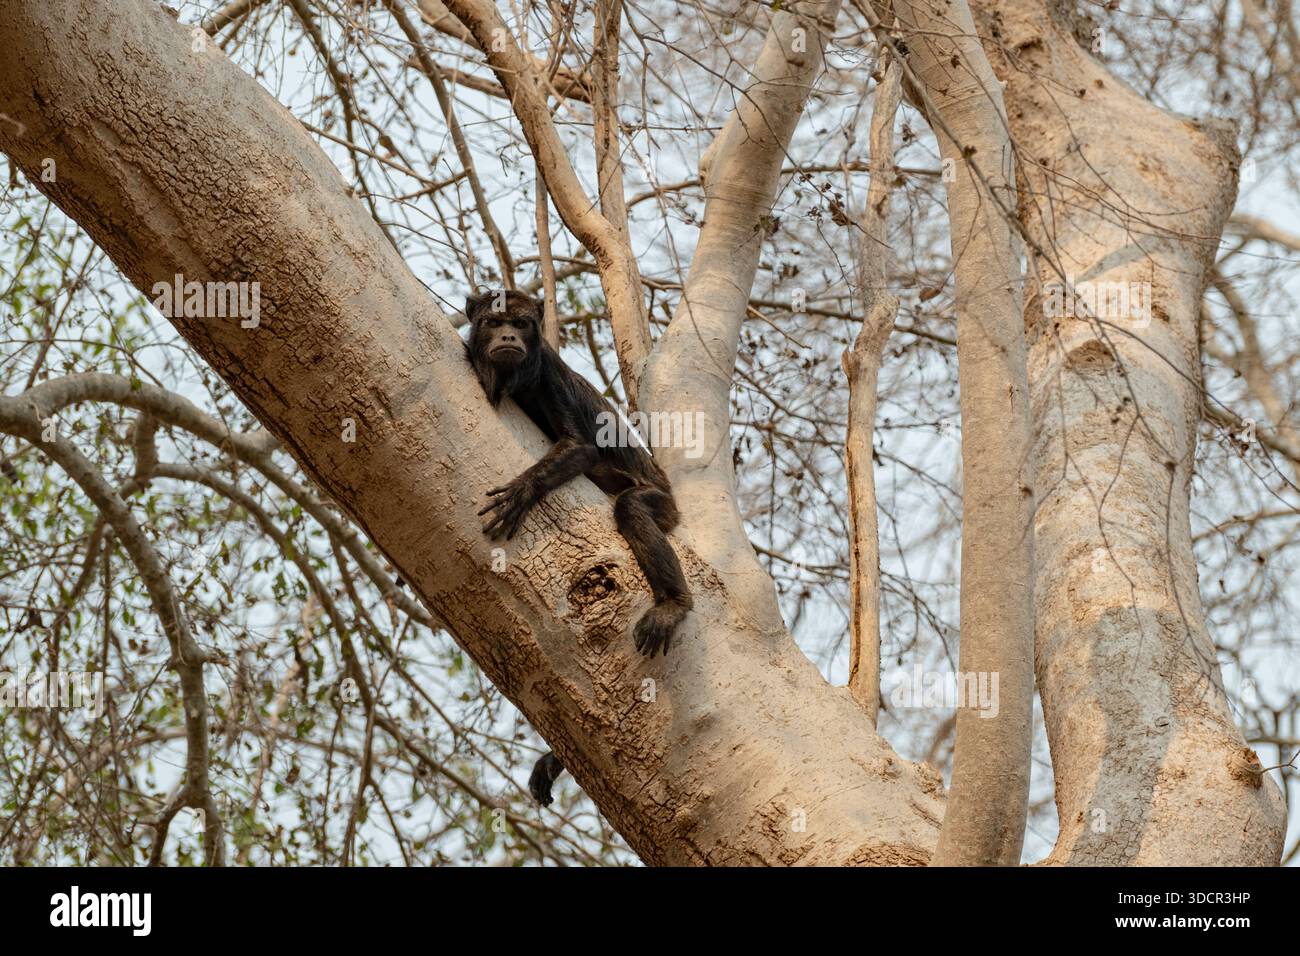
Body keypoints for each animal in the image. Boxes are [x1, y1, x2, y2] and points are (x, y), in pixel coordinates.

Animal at [465, 289, 693, 806]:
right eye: (494, 322)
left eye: (521, 324)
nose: (509, 338)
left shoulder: (548, 373)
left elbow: (584, 447)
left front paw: (522, 491)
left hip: (663, 503)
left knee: (632, 506)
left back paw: (674, 604)